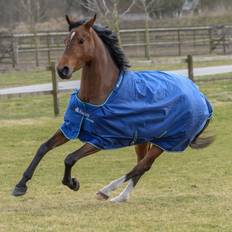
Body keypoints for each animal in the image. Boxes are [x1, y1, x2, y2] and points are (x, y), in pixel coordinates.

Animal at [12, 14, 215, 203]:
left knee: (142, 166)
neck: (100, 95)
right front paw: (20, 186)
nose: (62, 70)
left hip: (167, 142)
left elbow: (69, 158)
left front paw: (72, 183)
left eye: (81, 40)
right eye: (64, 40)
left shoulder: (101, 140)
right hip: (144, 140)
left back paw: (106, 191)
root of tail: (201, 97)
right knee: (141, 166)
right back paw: (121, 197)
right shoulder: (71, 127)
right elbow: (43, 147)